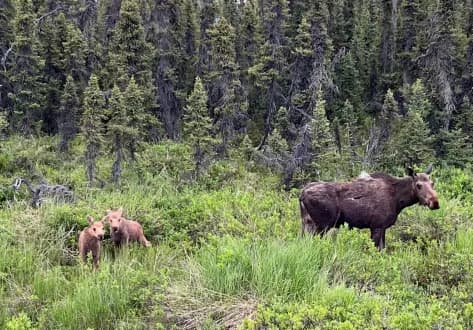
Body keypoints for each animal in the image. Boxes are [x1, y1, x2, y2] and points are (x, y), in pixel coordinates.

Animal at [298, 166, 438, 249]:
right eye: (419, 185)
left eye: (432, 183)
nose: (435, 202)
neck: (398, 201)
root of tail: (302, 194)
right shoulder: (376, 226)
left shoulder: (382, 227)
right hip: (322, 225)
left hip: (307, 223)